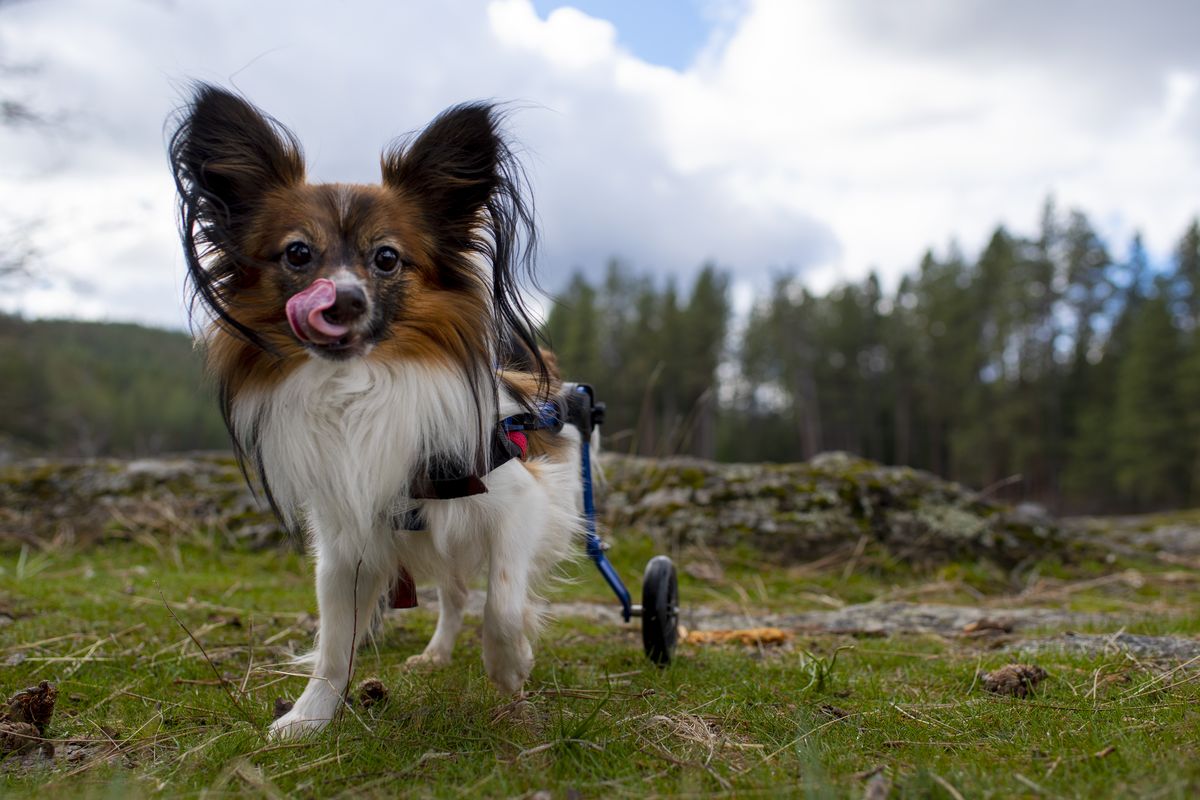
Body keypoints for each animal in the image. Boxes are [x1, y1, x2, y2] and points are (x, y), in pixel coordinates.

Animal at [168, 86, 585, 738]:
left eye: (387, 258)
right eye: (297, 253)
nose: (341, 301)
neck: (357, 388)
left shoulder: (520, 506)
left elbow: (504, 602)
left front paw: (510, 664)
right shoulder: (344, 542)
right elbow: (335, 643)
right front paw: (309, 716)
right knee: (455, 597)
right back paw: (436, 653)